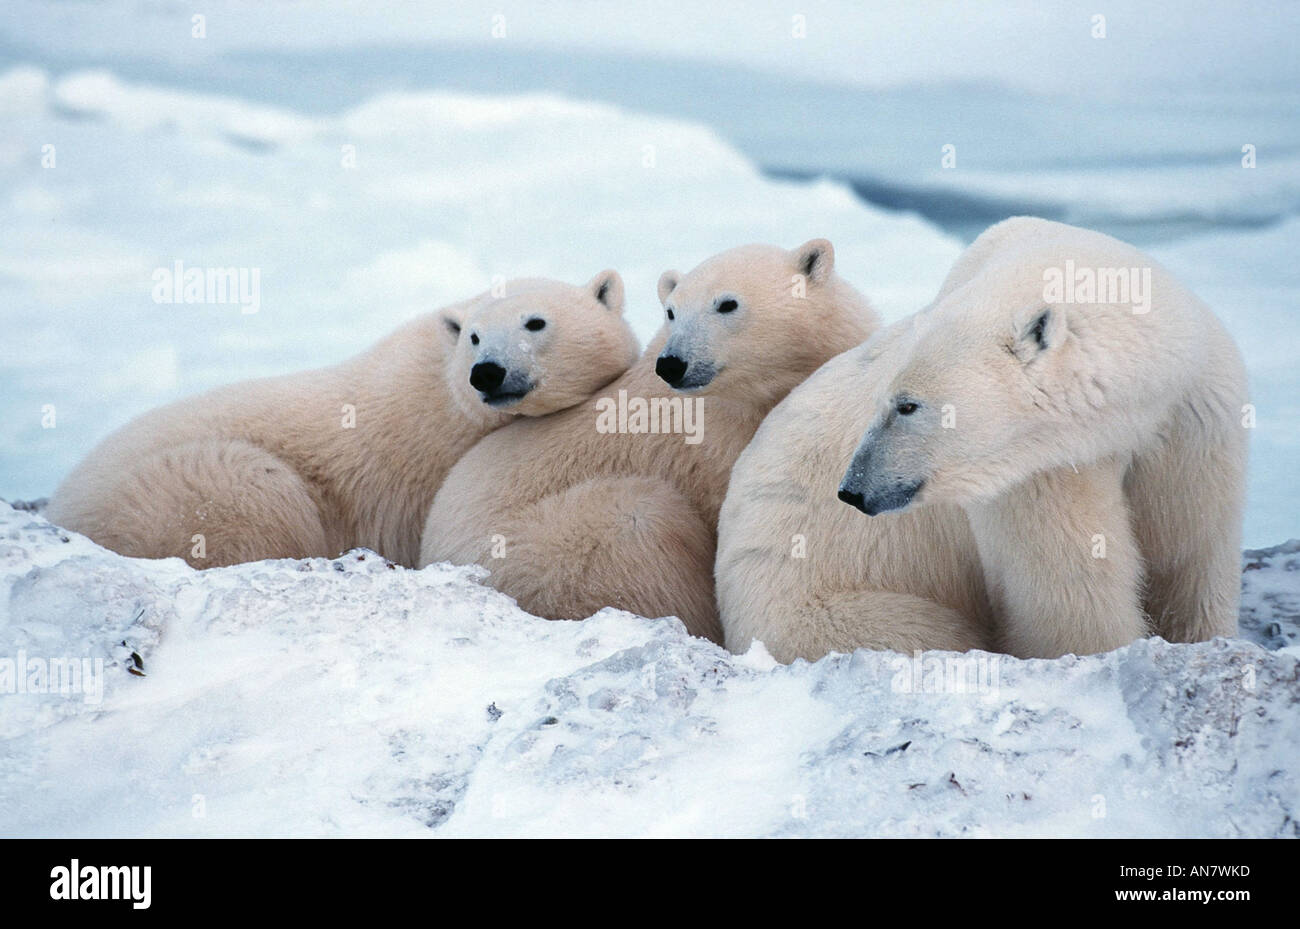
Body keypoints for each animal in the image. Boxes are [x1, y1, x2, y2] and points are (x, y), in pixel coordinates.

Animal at [418, 240, 879, 643]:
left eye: (727, 303)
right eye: (671, 312)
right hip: (545, 547)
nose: (672, 363)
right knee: (640, 523)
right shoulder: (715, 451)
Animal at [719, 217, 1248, 661]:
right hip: (816, 604)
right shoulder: (1036, 474)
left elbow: (1191, 547)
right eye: (886, 399)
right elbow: (1068, 584)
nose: (852, 490)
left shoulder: (1192, 420)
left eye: (906, 405)